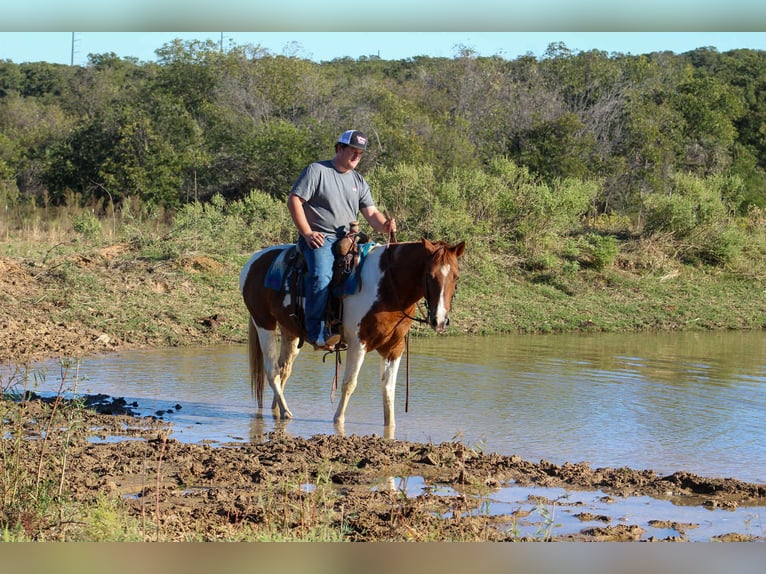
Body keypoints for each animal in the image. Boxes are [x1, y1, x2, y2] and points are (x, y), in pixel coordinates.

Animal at [239, 237, 466, 433]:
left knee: (284, 369)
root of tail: (254, 259)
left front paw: (390, 426)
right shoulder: (359, 343)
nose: (439, 320)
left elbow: (388, 389)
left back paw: (277, 408)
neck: (387, 286)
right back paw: (286, 412)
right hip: (263, 322)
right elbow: (349, 383)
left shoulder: (395, 347)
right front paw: (338, 421)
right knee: (272, 370)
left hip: (290, 331)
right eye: (430, 275)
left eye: (456, 276)